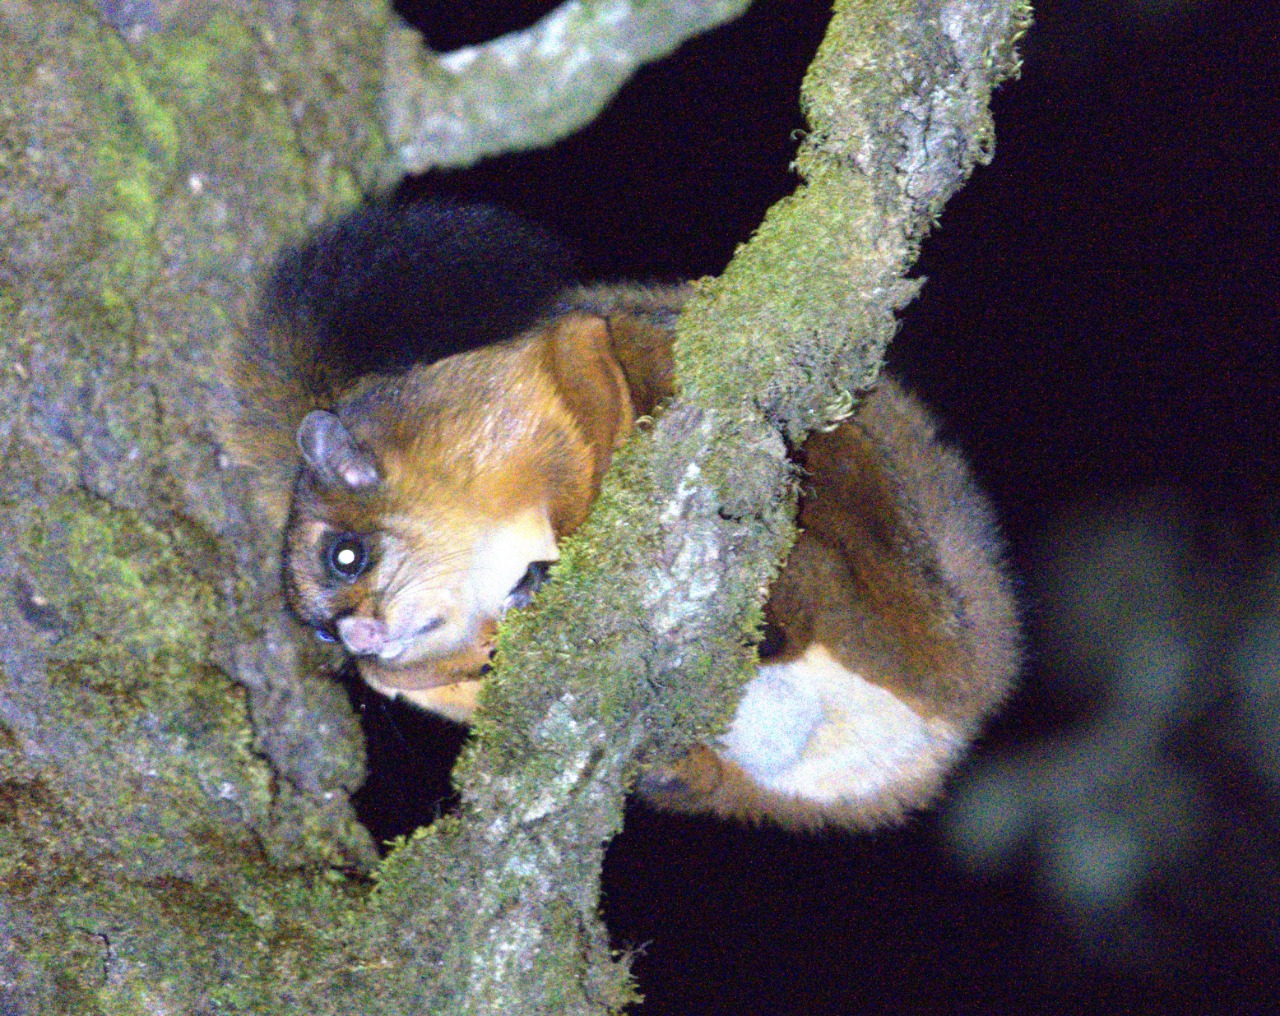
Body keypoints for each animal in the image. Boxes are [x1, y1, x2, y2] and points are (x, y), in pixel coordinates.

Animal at [220, 199, 1018, 829]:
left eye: (345, 555)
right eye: (323, 633)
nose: (358, 638)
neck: (479, 554)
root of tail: (957, 694)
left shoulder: (502, 405)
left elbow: (582, 377)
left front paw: (553, 565)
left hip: (866, 543)